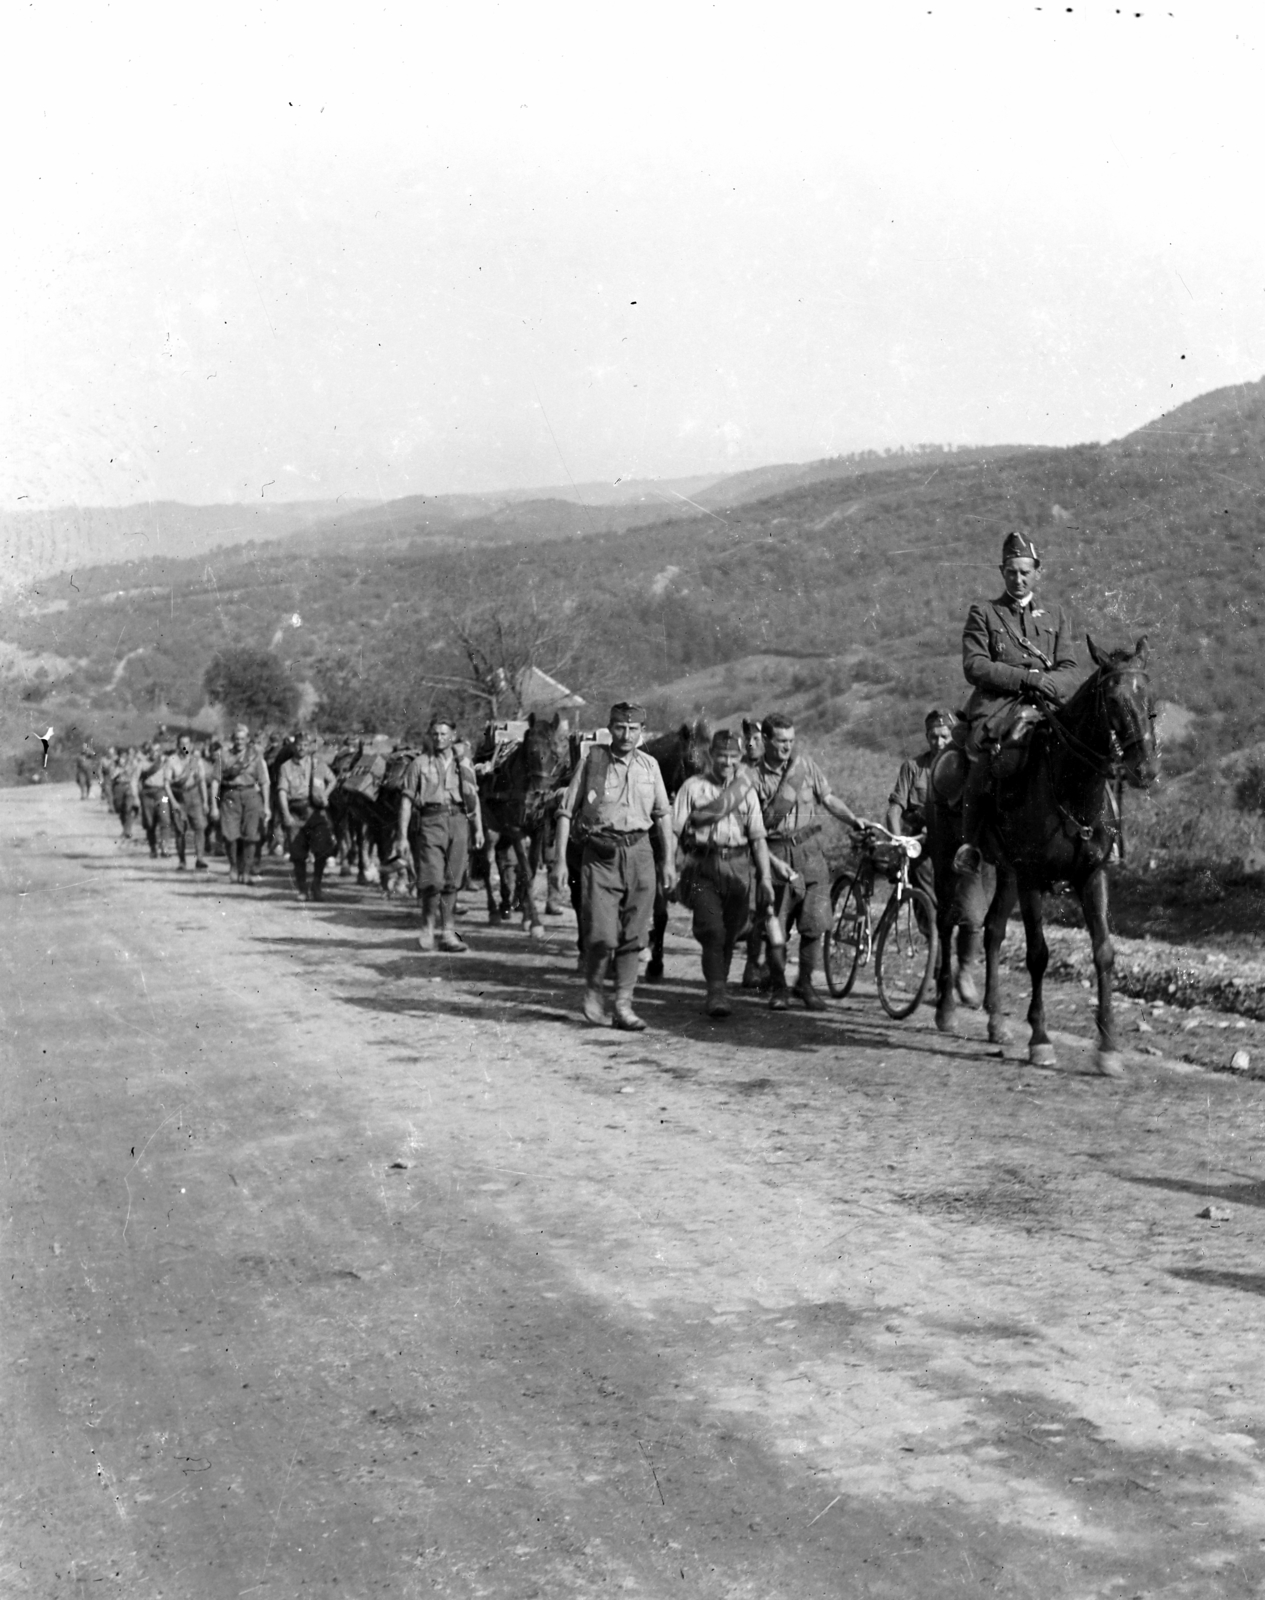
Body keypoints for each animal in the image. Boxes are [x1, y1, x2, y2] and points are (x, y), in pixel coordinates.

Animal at [479, 716, 569, 934]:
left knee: (502, 861)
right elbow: (526, 871)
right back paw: (493, 911)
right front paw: (535, 922)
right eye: (531, 752)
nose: (540, 794)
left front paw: (527, 917)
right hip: (490, 829)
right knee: (487, 863)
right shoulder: (515, 830)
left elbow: (531, 869)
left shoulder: (538, 830)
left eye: (555, 754)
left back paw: (505, 905)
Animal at [927, 643, 1164, 1081]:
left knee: (992, 931)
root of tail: (942, 753)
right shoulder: (1032, 878)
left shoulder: (1092, 876)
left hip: (1005, 871)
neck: (1071, 787)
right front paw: (1040, 1040)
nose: (1145, 769)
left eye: (1149, 697)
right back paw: (946, 1010)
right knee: (947, 921)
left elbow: (1104, 952)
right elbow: (1038, 954)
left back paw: (996, 1022)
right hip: (946, 859)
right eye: (1114, 700)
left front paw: (1108, 1048)